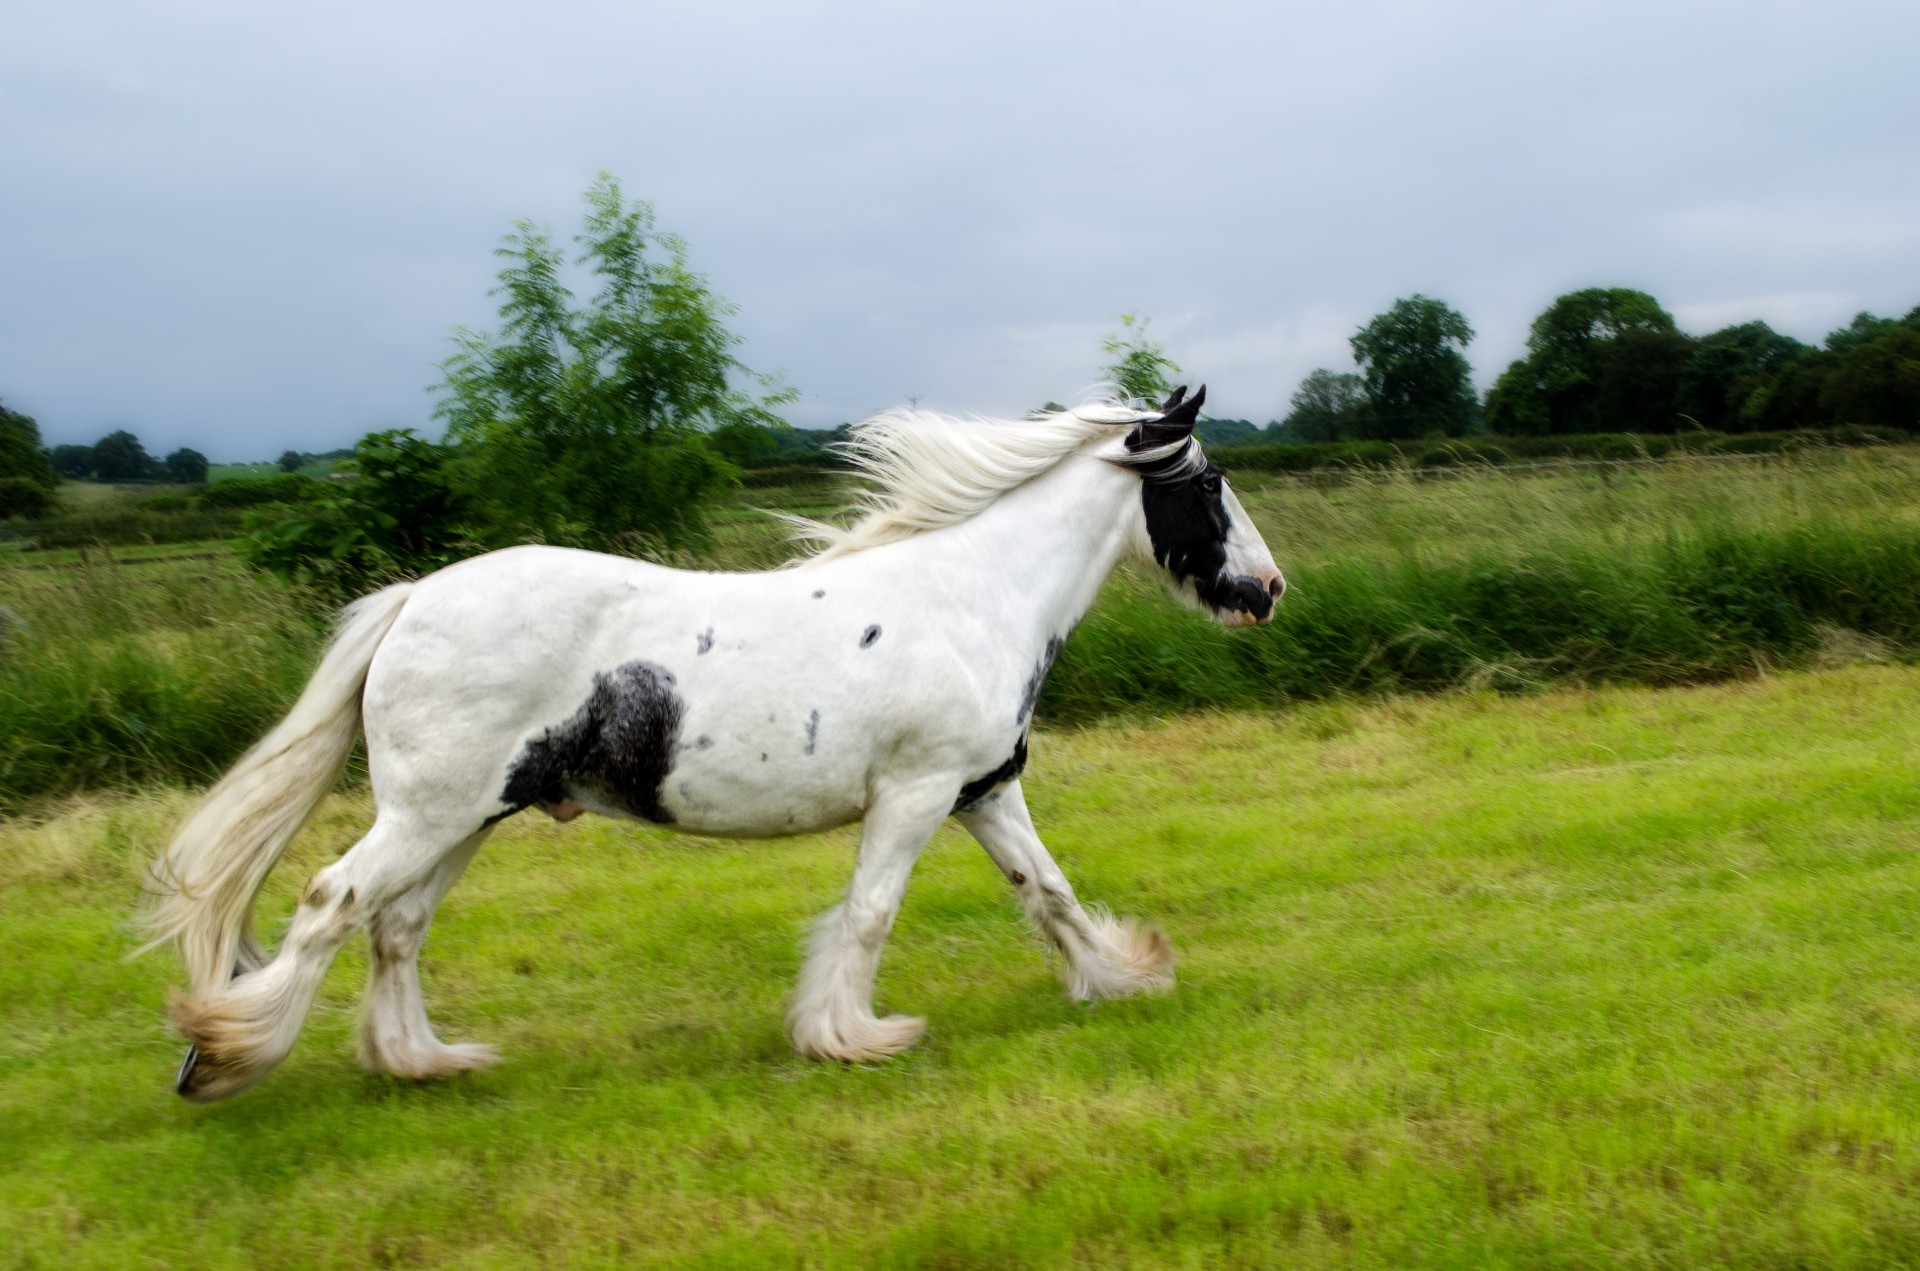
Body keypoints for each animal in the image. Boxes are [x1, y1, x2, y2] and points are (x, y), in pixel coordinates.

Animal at [149, 387, 1282, 1105]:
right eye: (1208, 481)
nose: (1268, 589)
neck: (976, 598)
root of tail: (414, 599)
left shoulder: (982, 790)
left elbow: (1047, 890)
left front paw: (1126, 976)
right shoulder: (915, 793)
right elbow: (869, 913)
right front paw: (854, 1037)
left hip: (465, 816)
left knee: (396, 925)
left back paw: (424, 1062)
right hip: (429, 812)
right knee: (332, 901)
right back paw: (225, 1054)